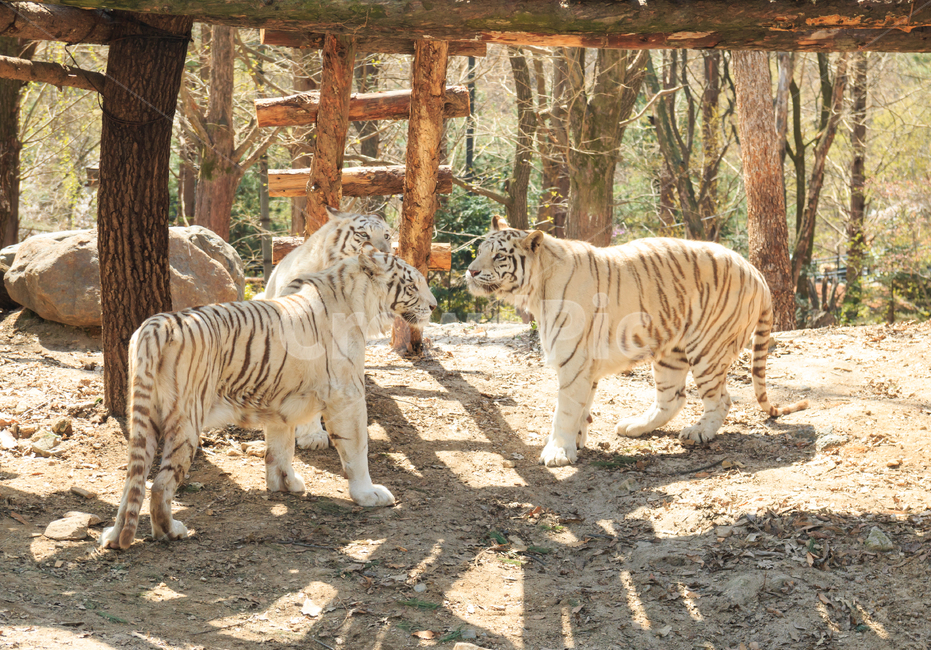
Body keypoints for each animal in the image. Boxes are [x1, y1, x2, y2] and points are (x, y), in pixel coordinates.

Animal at [100, 247, 436, 549]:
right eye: (413, 285)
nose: (433, 306)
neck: (359, 302)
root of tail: (155, 325)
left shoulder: (281, 399)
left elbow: (281, 447)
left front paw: (285, 484)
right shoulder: (347, 395)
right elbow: (357, 449)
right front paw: (369, 494)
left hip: (143, 419)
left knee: (133, 480)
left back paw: (114, 538)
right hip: (185, 420)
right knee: (160, 485)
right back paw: (171, 532)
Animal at [466, 217, 808, 467]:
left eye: (499, 256)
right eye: (480, 250)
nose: (471, 271)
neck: (537, 289)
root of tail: (756, 272)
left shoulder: (572, 360)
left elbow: (563, 410)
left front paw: (558, 452)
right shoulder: (585, 365)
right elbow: (581, 407)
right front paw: (576, 441)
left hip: (708, 349)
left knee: (721, 400)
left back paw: (698, 432)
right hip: (671, 352)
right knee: (673, 398)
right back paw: (635, 426)